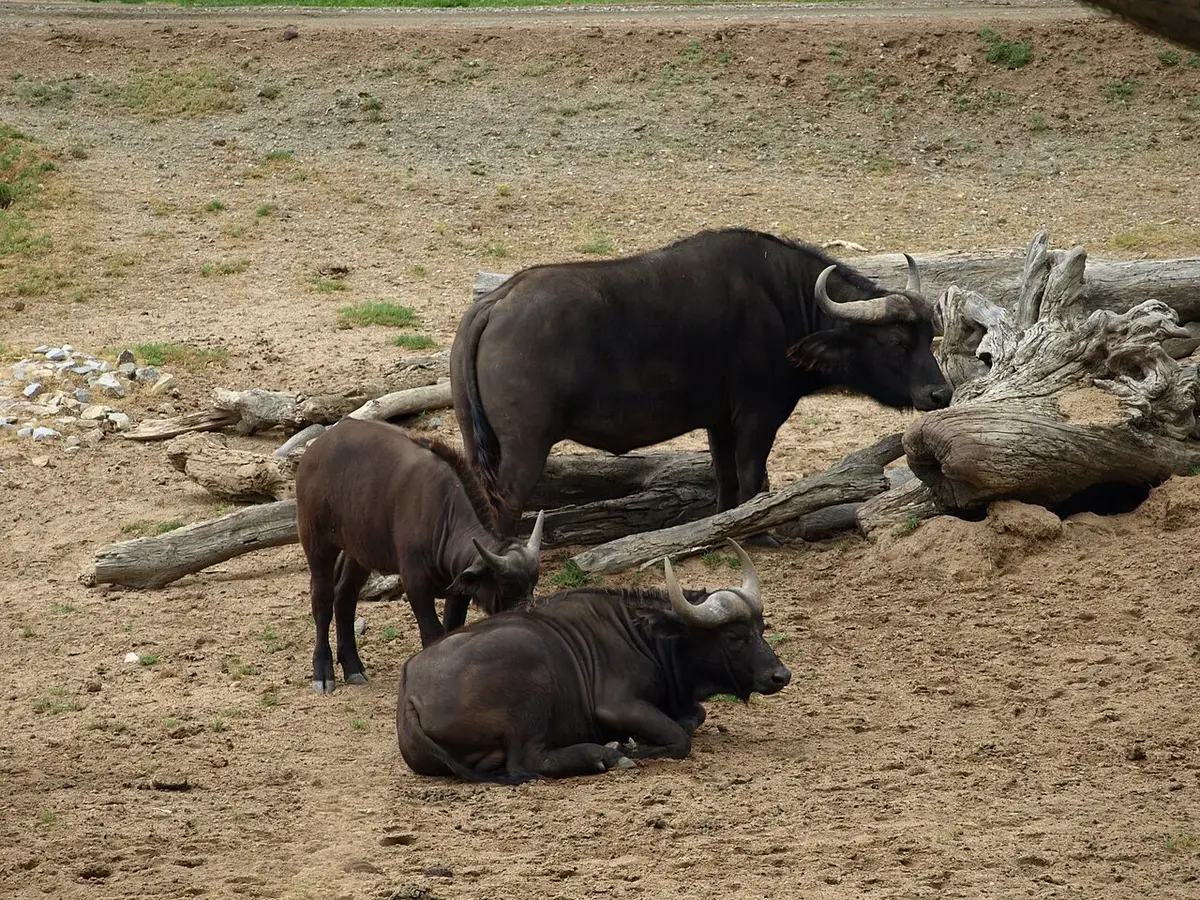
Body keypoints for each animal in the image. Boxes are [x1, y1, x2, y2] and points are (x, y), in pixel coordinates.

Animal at [295, 418, 545, 692]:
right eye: (506, 588)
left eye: (533, 584)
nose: (527, 616)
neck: (443, 515)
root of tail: (316, 449)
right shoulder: (416, 585)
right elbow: (433, 632)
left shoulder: (459, 591)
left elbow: (452, 628)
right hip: (317, 543)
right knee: (322, 601)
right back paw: (323, 672)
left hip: (358, 552)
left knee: (345, 596)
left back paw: (353, 667)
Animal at [396, 540, 791, 783]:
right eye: (734, 637)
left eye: (761, 627)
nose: (780, 675)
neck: (646, 638)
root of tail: (410, 692)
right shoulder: (616, 706)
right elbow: (680, 738)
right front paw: (629, 746)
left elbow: (696, 716)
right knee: (528, 760)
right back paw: (603, 754)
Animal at [451, 227, 950, 536]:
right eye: (894, 341)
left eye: (929, 335)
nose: (940, 393)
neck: (782, 303)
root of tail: (495, 302)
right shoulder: (757, 416)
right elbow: (751, 477)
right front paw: (761, 534)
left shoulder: (719, 422)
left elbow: (724, 479)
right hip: (525, 447)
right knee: (505, 505)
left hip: (478, 445)